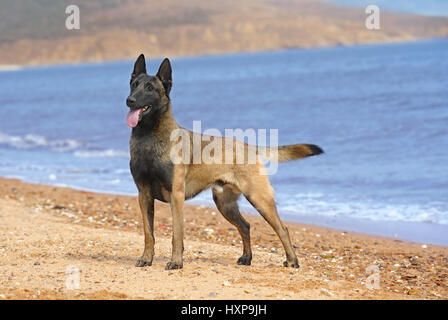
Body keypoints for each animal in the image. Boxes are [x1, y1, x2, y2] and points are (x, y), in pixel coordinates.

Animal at [125, 53, 322, 268]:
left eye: (150, 88)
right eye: (133, 84)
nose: (129, 100)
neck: (149, 136)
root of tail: (248, 146)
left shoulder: (176, 196)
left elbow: (177, 234)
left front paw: (176, 262)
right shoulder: (144, 195)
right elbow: (148, 234)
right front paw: (146, 258)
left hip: (259, 199)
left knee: (282, 228)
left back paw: (292, 260)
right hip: (225, 204)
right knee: (245, 226)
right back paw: (247, 258)